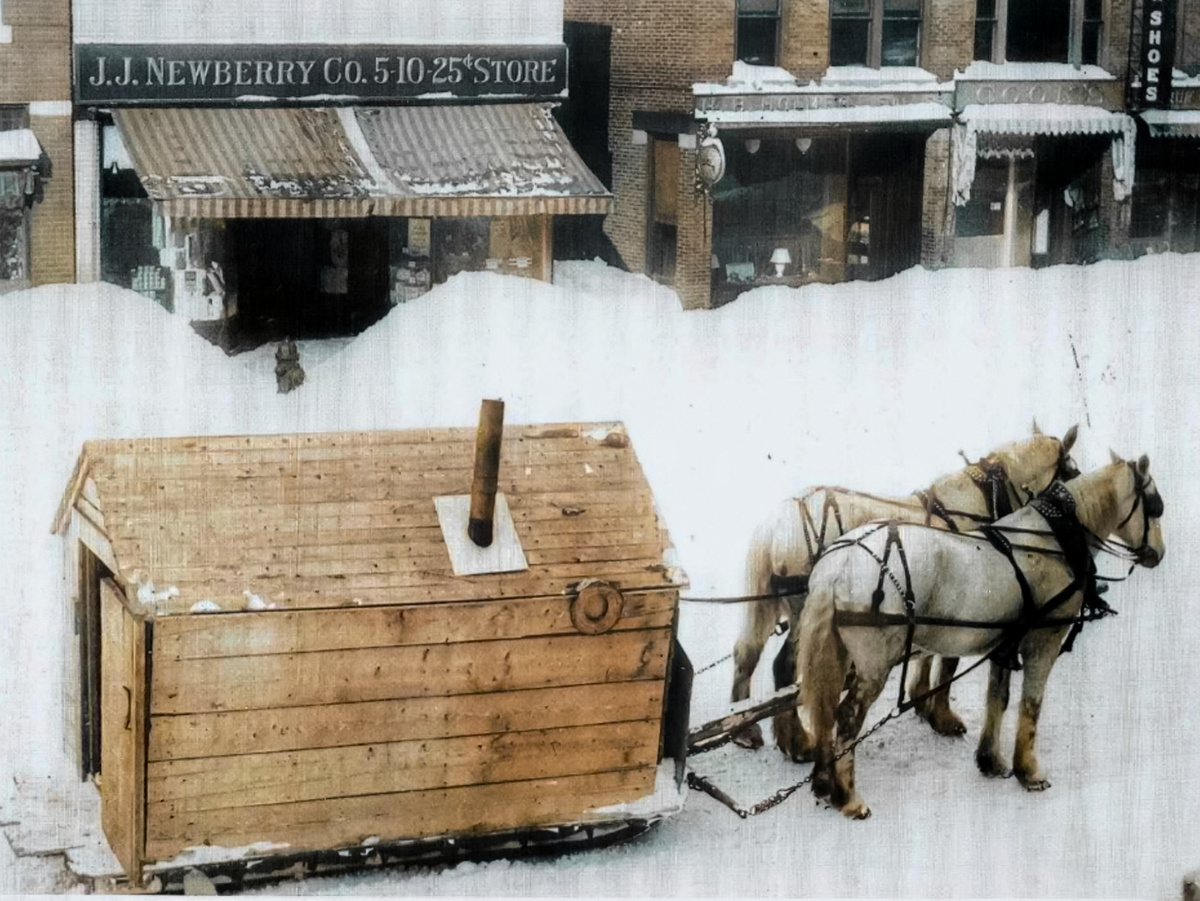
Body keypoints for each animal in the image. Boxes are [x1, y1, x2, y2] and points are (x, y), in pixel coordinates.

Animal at [729, 427, 1080, 748]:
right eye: (1073, 473)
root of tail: (777, 523)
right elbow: (947, 662)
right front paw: (942, 715)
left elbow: (927, 653)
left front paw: (922, 700)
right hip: (805, 610)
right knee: (786, 668)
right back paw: (796, 742)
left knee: (748, 653)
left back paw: (746, 729)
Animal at [796, 453, 1161, 820]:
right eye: (1155, 506)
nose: (1158, 554)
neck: (1052, 540)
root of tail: (837, 566)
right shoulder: (1043, 642)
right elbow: (1031, 703)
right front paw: (1029, 771)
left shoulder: (1005, 644)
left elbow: (997, 698)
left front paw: (991, 761)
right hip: (874, 661)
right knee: (847, 716)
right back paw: (848, 797)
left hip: (837, 652)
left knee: (824, 709)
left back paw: (824, 782)